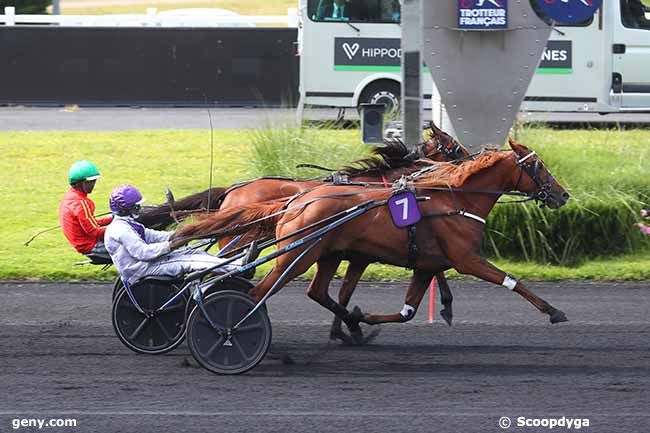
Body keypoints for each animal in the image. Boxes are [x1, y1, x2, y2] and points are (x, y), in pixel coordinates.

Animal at [172, 138, 568, 340]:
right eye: (538, 166)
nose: (562, 195)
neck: (453, 199)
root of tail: (294, 202)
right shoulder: (465, 258)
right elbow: (512, 281)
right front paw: (554, 311)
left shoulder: (417, 262)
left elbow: (405, 309)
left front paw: (359, 321)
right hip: (293, 254)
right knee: (253, 291)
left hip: (318, 253)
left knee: (305, 290)